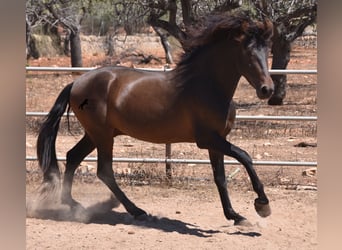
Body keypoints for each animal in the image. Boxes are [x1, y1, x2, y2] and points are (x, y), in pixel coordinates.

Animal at [36, 12, 274, 227]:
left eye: (267, 50)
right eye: (248, 52)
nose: (267, 90)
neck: (206, 85)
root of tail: (76, 83)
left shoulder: (217, 141)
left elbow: (221, 178)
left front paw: (236, 216)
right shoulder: (208, 139)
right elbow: (245, 157)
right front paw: (262, 205)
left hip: (96, 134)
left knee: (73, 157)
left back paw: (74, 205)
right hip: (102, 135)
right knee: (104, 170)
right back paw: (136, 211)